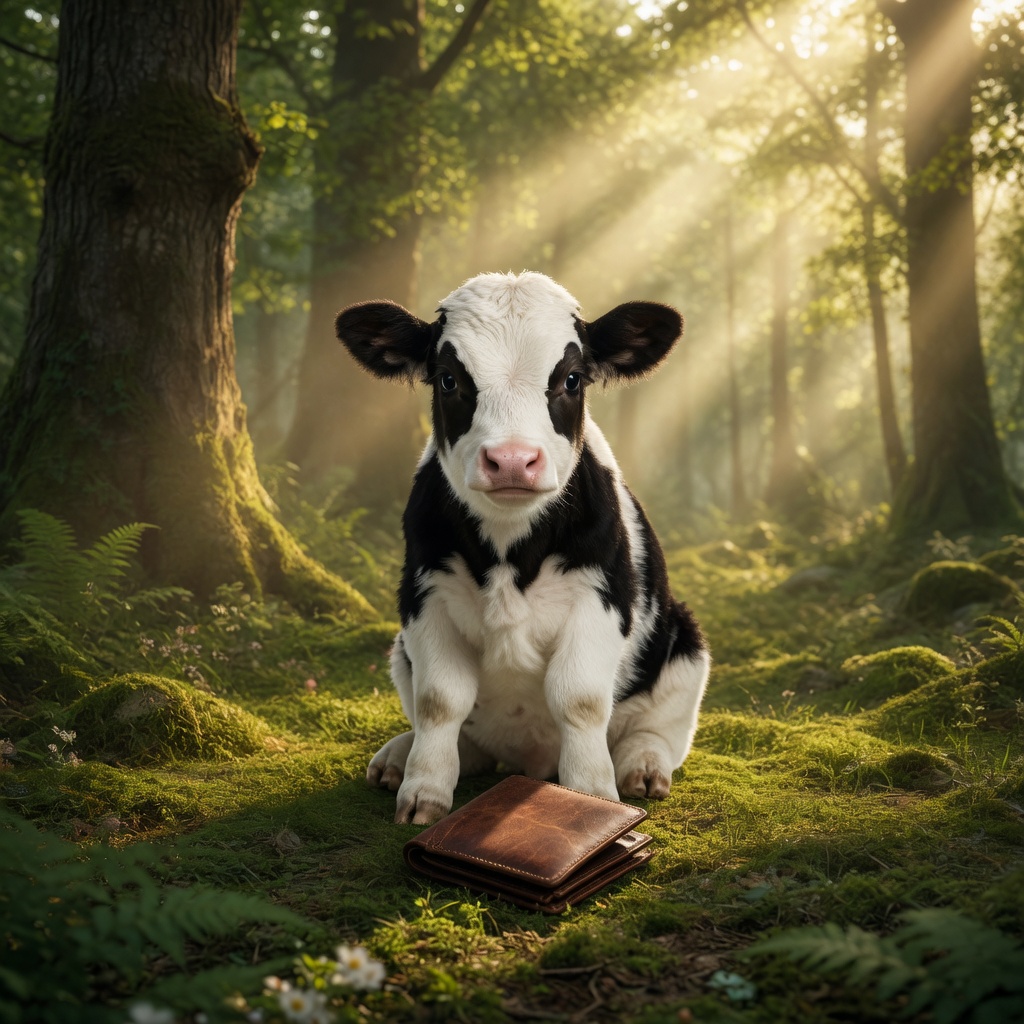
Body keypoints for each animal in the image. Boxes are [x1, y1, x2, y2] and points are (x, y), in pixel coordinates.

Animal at [336, 271, 710, 825]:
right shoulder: (424, 594)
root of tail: (527, 760)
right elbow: (439, 700)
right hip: (400, 651)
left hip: (685, 642)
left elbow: (580, 699)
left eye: (572, 379)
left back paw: (642, 767)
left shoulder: (602, 597)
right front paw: (423, 793)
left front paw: (594, 798)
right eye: (448, 379)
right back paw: (397, 760)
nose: (512, 460)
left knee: (658, 728)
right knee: (463, 737)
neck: (508, 551)